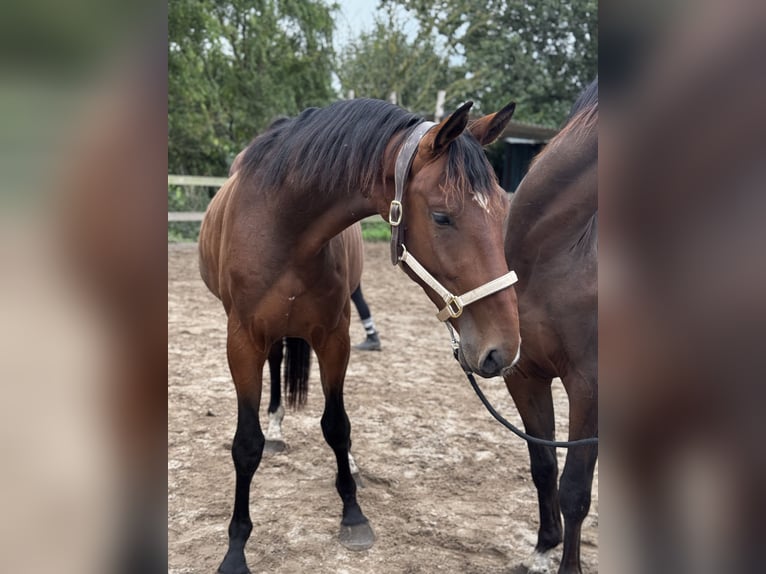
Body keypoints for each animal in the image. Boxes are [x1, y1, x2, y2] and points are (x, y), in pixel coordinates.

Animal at [199, 97, 522, 574]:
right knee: (276, 367)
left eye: (502, 210)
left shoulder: (335, 337)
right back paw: (276, 425)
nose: (504, 351)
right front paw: (236, 548)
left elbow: (337, 426)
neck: (284, 225)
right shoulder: (242, 342)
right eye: (442, 216)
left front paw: (352, 515)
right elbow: (246, 445)